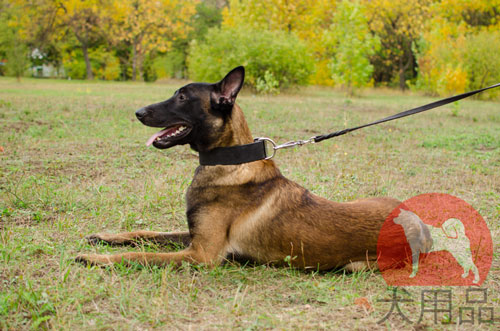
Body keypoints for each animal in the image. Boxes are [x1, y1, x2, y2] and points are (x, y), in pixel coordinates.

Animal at [76, 65, 402, 272]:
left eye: (182, 97)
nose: (138, 112)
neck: (228, 161)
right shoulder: (194, 238)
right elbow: (148, 233)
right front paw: (107, 238)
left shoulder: (202, 254)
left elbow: (139, 254)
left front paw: (97, 259)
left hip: (355, 266)